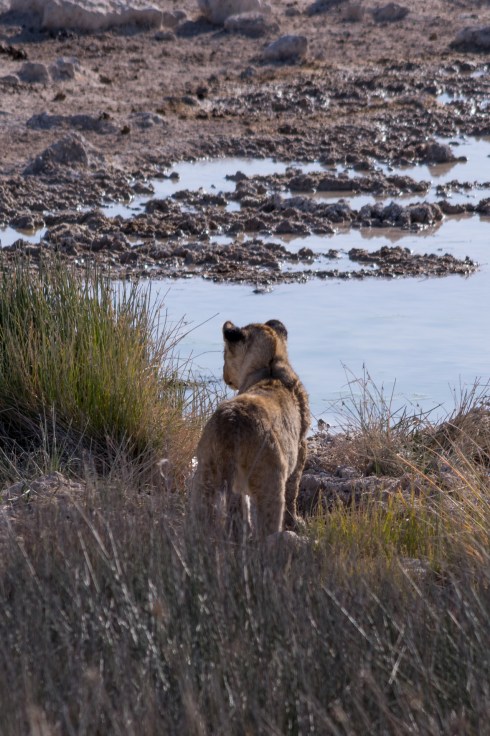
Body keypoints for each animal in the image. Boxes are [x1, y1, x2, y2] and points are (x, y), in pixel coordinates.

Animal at [191, 319, 310, 539]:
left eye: (224, 354)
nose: (224, 375)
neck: (269, 365)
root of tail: (231, 423)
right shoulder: (301, 445)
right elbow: (294, 490)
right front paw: (296, 522)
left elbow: (240, 512)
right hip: (269, 483)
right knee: (267, 529)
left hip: (205, 476)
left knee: (200, 522)